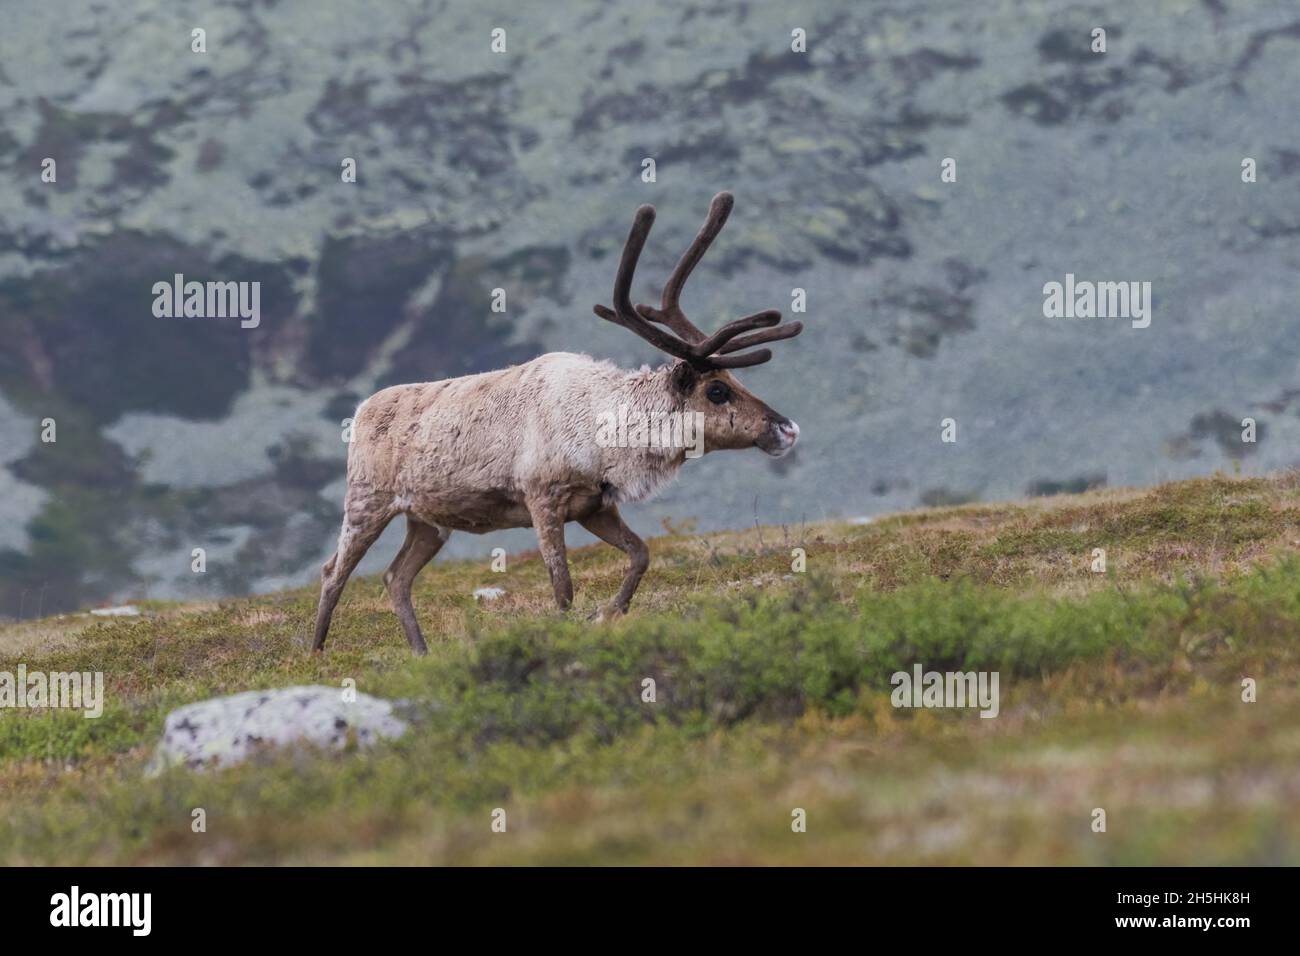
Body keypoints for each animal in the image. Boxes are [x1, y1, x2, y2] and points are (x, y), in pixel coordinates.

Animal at [312, 192, 803, 654]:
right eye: (717, 390)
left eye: (735, 380)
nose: (787, 428)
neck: (605, 430)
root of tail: (362, 409)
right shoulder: (541, 497)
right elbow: (562, 587)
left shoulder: (595, 506)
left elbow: (641, 554)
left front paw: (609, 613)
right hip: (367, 500)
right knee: (334, 571)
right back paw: (317, 652)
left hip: (428, 519)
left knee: (396, 576)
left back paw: (420, 651)